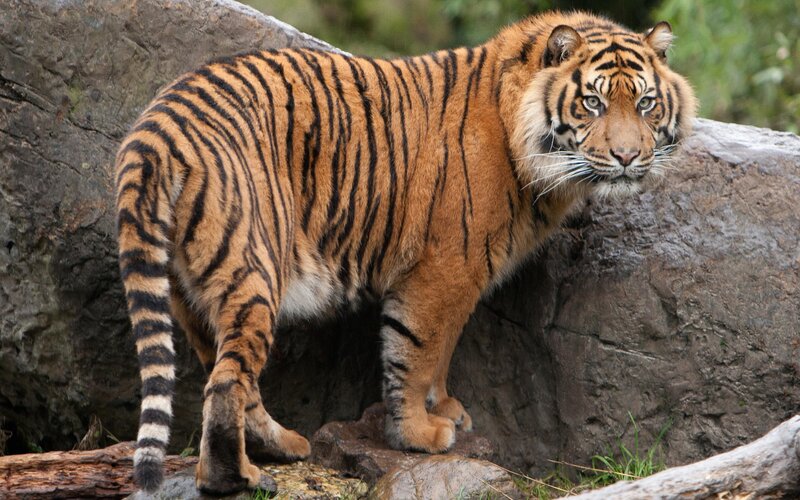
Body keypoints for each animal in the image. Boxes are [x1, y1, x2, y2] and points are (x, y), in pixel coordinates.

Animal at [114, 10, 696, 494]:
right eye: (592, 103)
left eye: (645, 103)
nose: (627, 157)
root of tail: (154, 131)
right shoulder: (444, 268)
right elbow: (415, 352)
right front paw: (418, 433)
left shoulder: (464, 275)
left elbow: (442, 351)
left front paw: (446, 409)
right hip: (253, 268)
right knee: (225, 383)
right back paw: (235, 478)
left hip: (192, 292)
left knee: (230, 374)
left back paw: (282, 445)